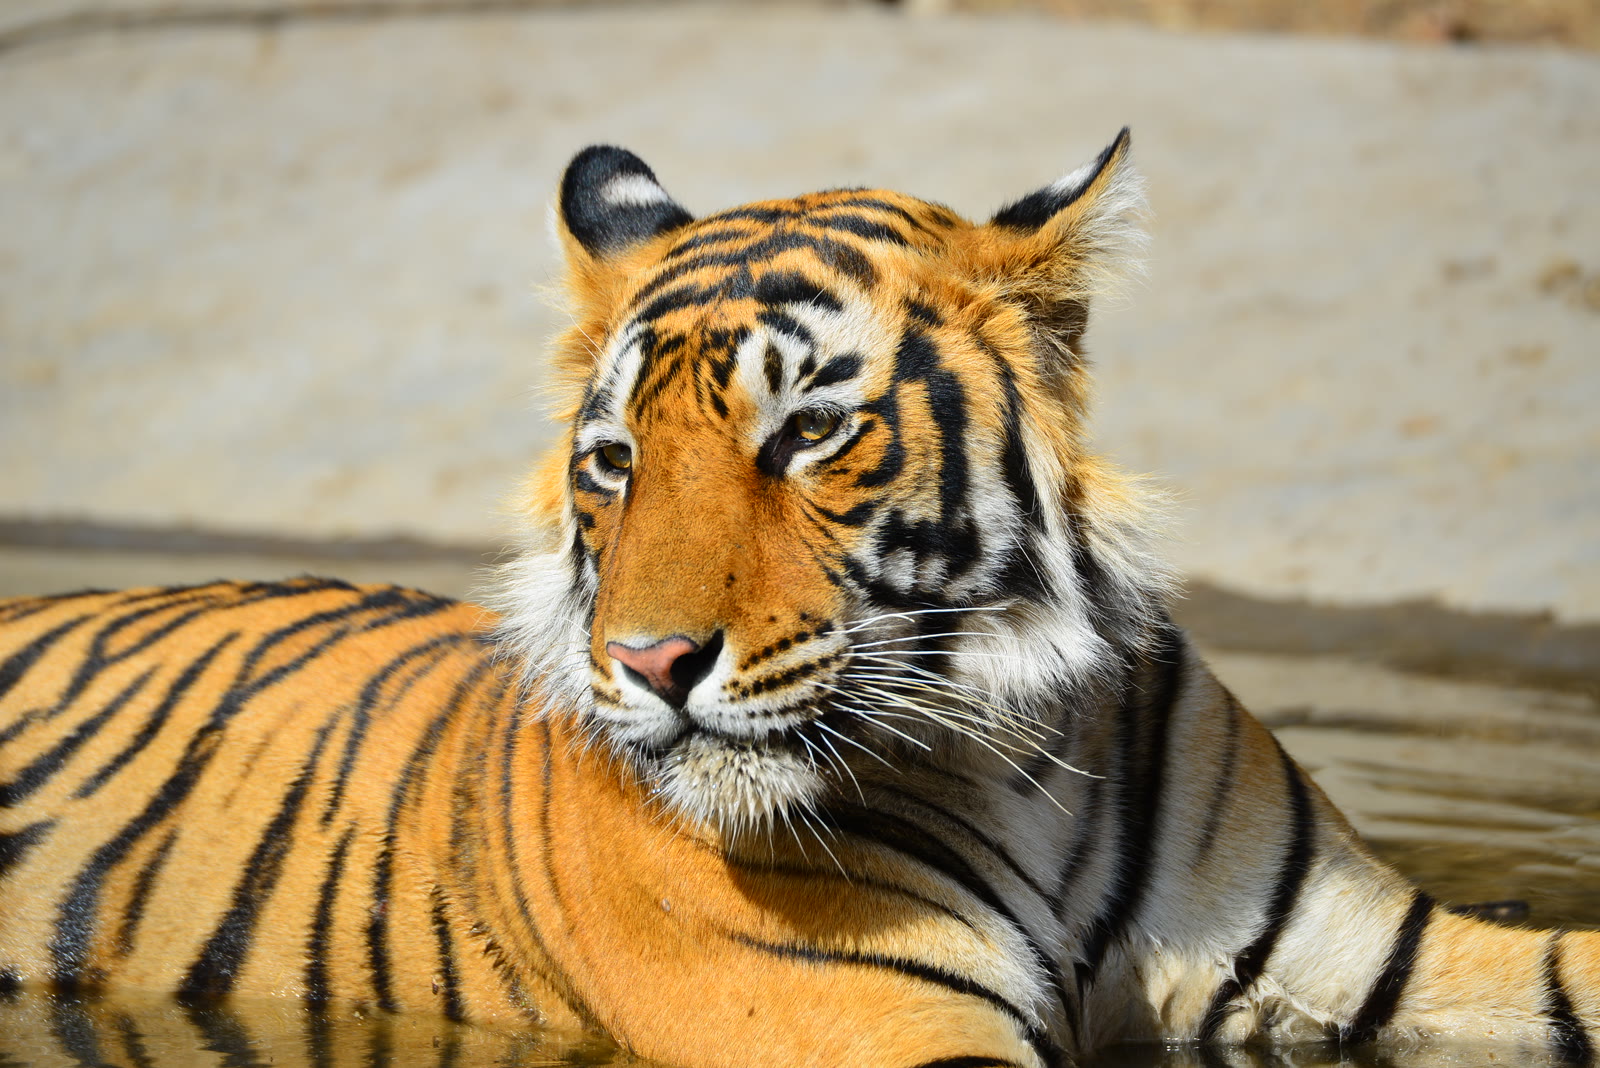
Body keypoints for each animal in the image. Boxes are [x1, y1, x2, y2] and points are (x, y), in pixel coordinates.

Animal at [1, 130, 1596, 1068]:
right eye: (615, 460)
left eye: (809, 432)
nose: (650, 663)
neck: (1030, 760)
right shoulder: (876, 1024)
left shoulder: (1373, 955)